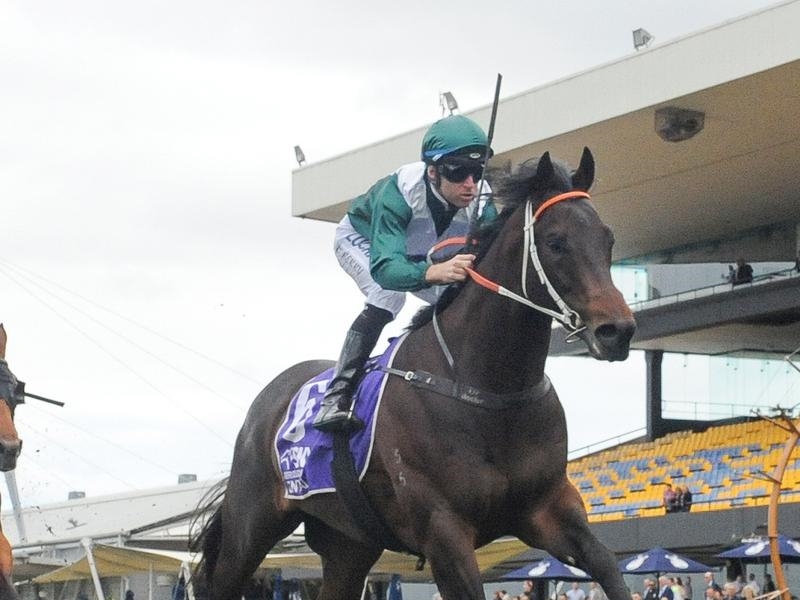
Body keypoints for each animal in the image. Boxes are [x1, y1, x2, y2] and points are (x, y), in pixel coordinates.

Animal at [193, 148, 636, 600]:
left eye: (608, 239)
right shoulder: (444, 531)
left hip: (349, 543)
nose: (617, 331)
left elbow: (607, 565)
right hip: (251, 526)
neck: (486, 388)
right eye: (556, 242)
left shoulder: (546, 509)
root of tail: (265, 403)